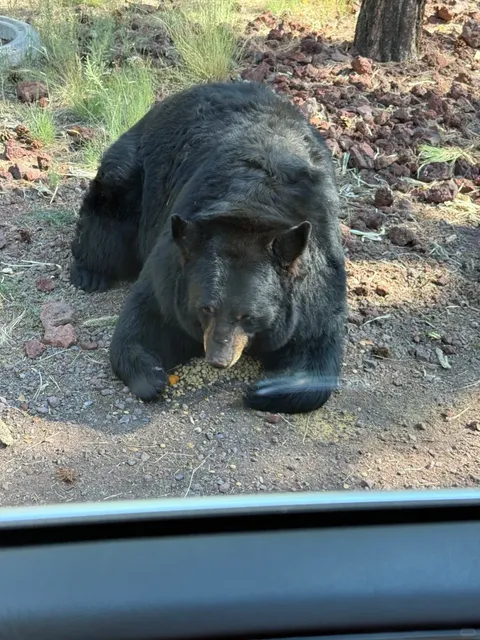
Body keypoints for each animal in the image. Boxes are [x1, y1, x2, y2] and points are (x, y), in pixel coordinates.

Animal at [70, 81, 347, 414]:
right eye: (206, 308)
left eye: (249, 317)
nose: (218, 360)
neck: (251, 209)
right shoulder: (172, 264)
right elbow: (145, 319)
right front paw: (152, 375)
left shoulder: (319, 273)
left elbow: (317, 348)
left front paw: (262, 390)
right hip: (130, 177)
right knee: (106, 226)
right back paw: (89, 274)